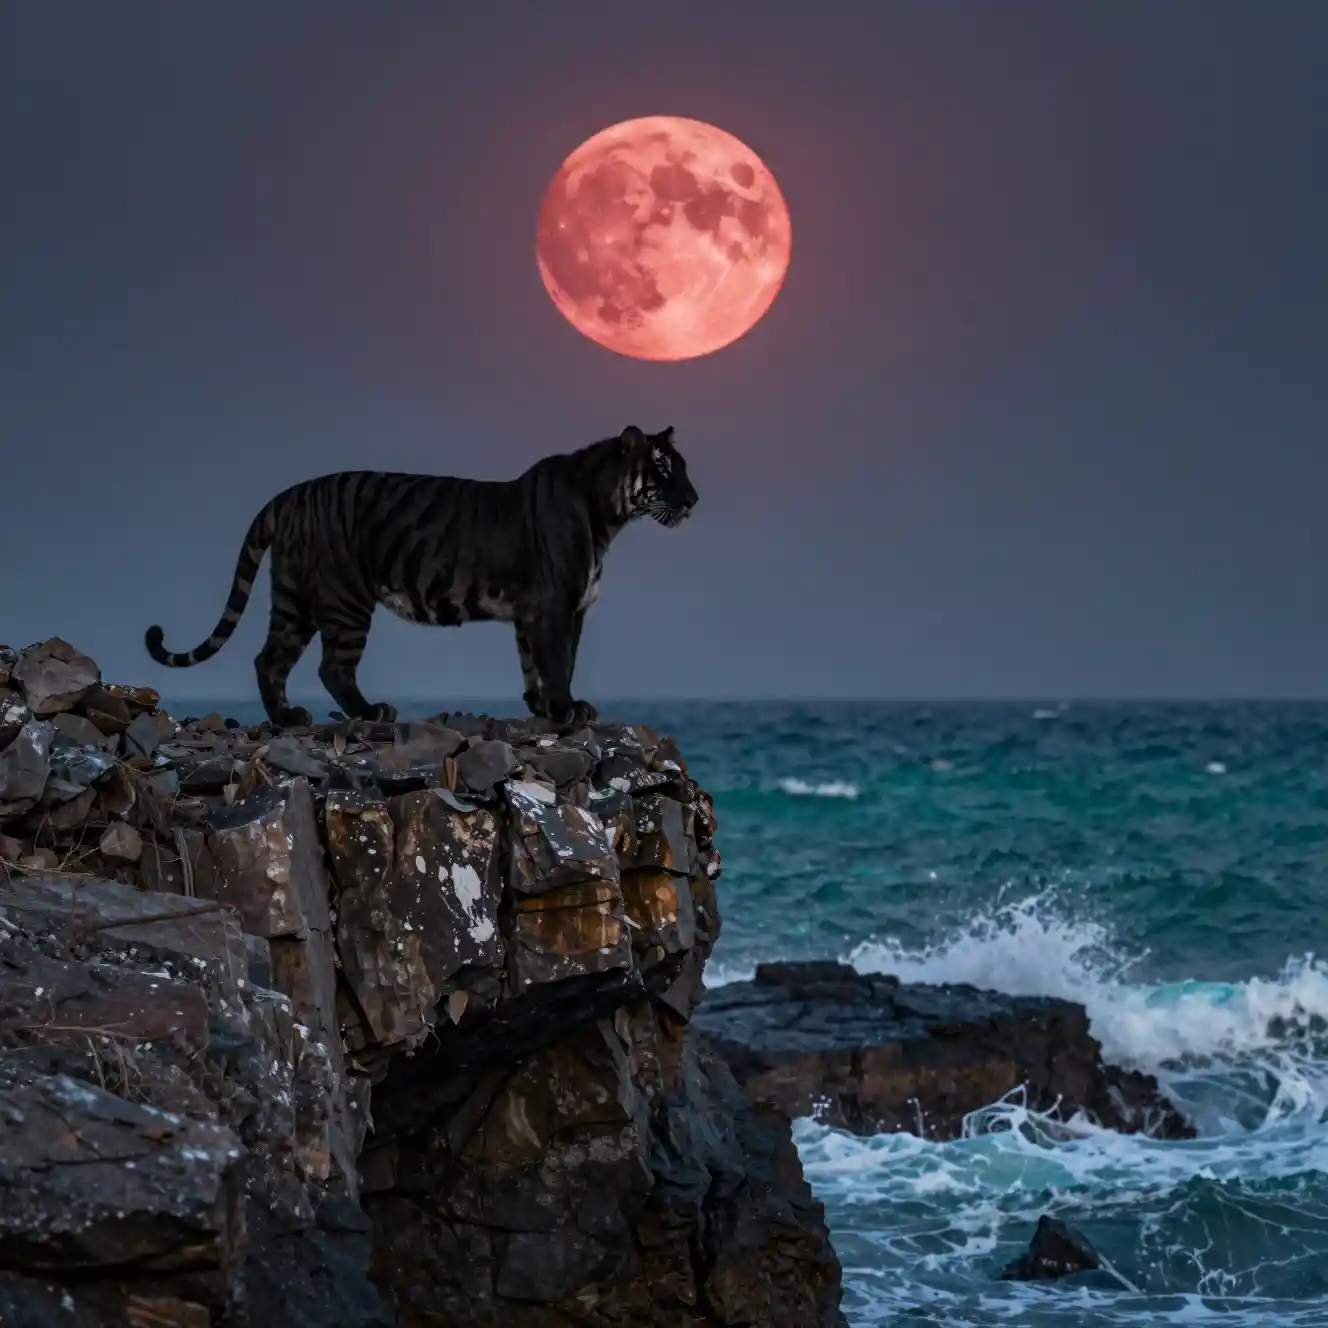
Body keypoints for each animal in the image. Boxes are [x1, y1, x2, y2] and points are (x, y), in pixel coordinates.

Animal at [144, 425, 698, 727]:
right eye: (663, 470)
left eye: (684, 467)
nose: (694, 500)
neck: (610, 516)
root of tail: (287, 496)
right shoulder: (556, 606)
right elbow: (559, 661)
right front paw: (568, 709)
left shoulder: (540, 612)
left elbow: (535, 664)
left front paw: (542, 707)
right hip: (345, 600)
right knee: (331, 667)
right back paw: (371, 712)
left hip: (293, 599)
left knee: (269, 660)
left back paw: (287, 718)